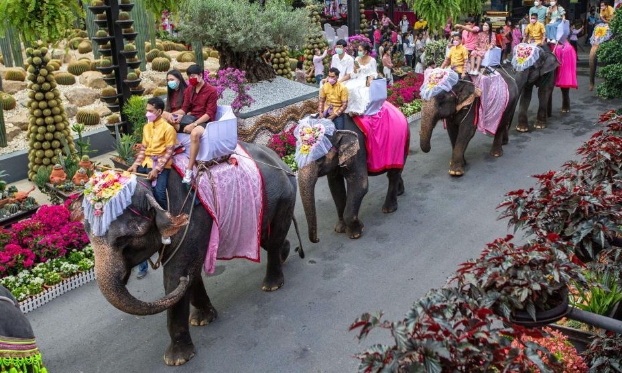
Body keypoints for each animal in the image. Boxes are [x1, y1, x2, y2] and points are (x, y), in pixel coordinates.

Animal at [73, 141, 302, 364]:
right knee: (265, 237)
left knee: (274, 237)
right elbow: (189, 270)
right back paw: (284, 253)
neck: (150, 186)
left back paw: (272, 285)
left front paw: (177, 359)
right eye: (88, 236)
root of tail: (279, 159)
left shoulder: (191, 218)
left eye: (123, 240)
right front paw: (202, 319)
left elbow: (176, 273)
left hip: (286, 195)